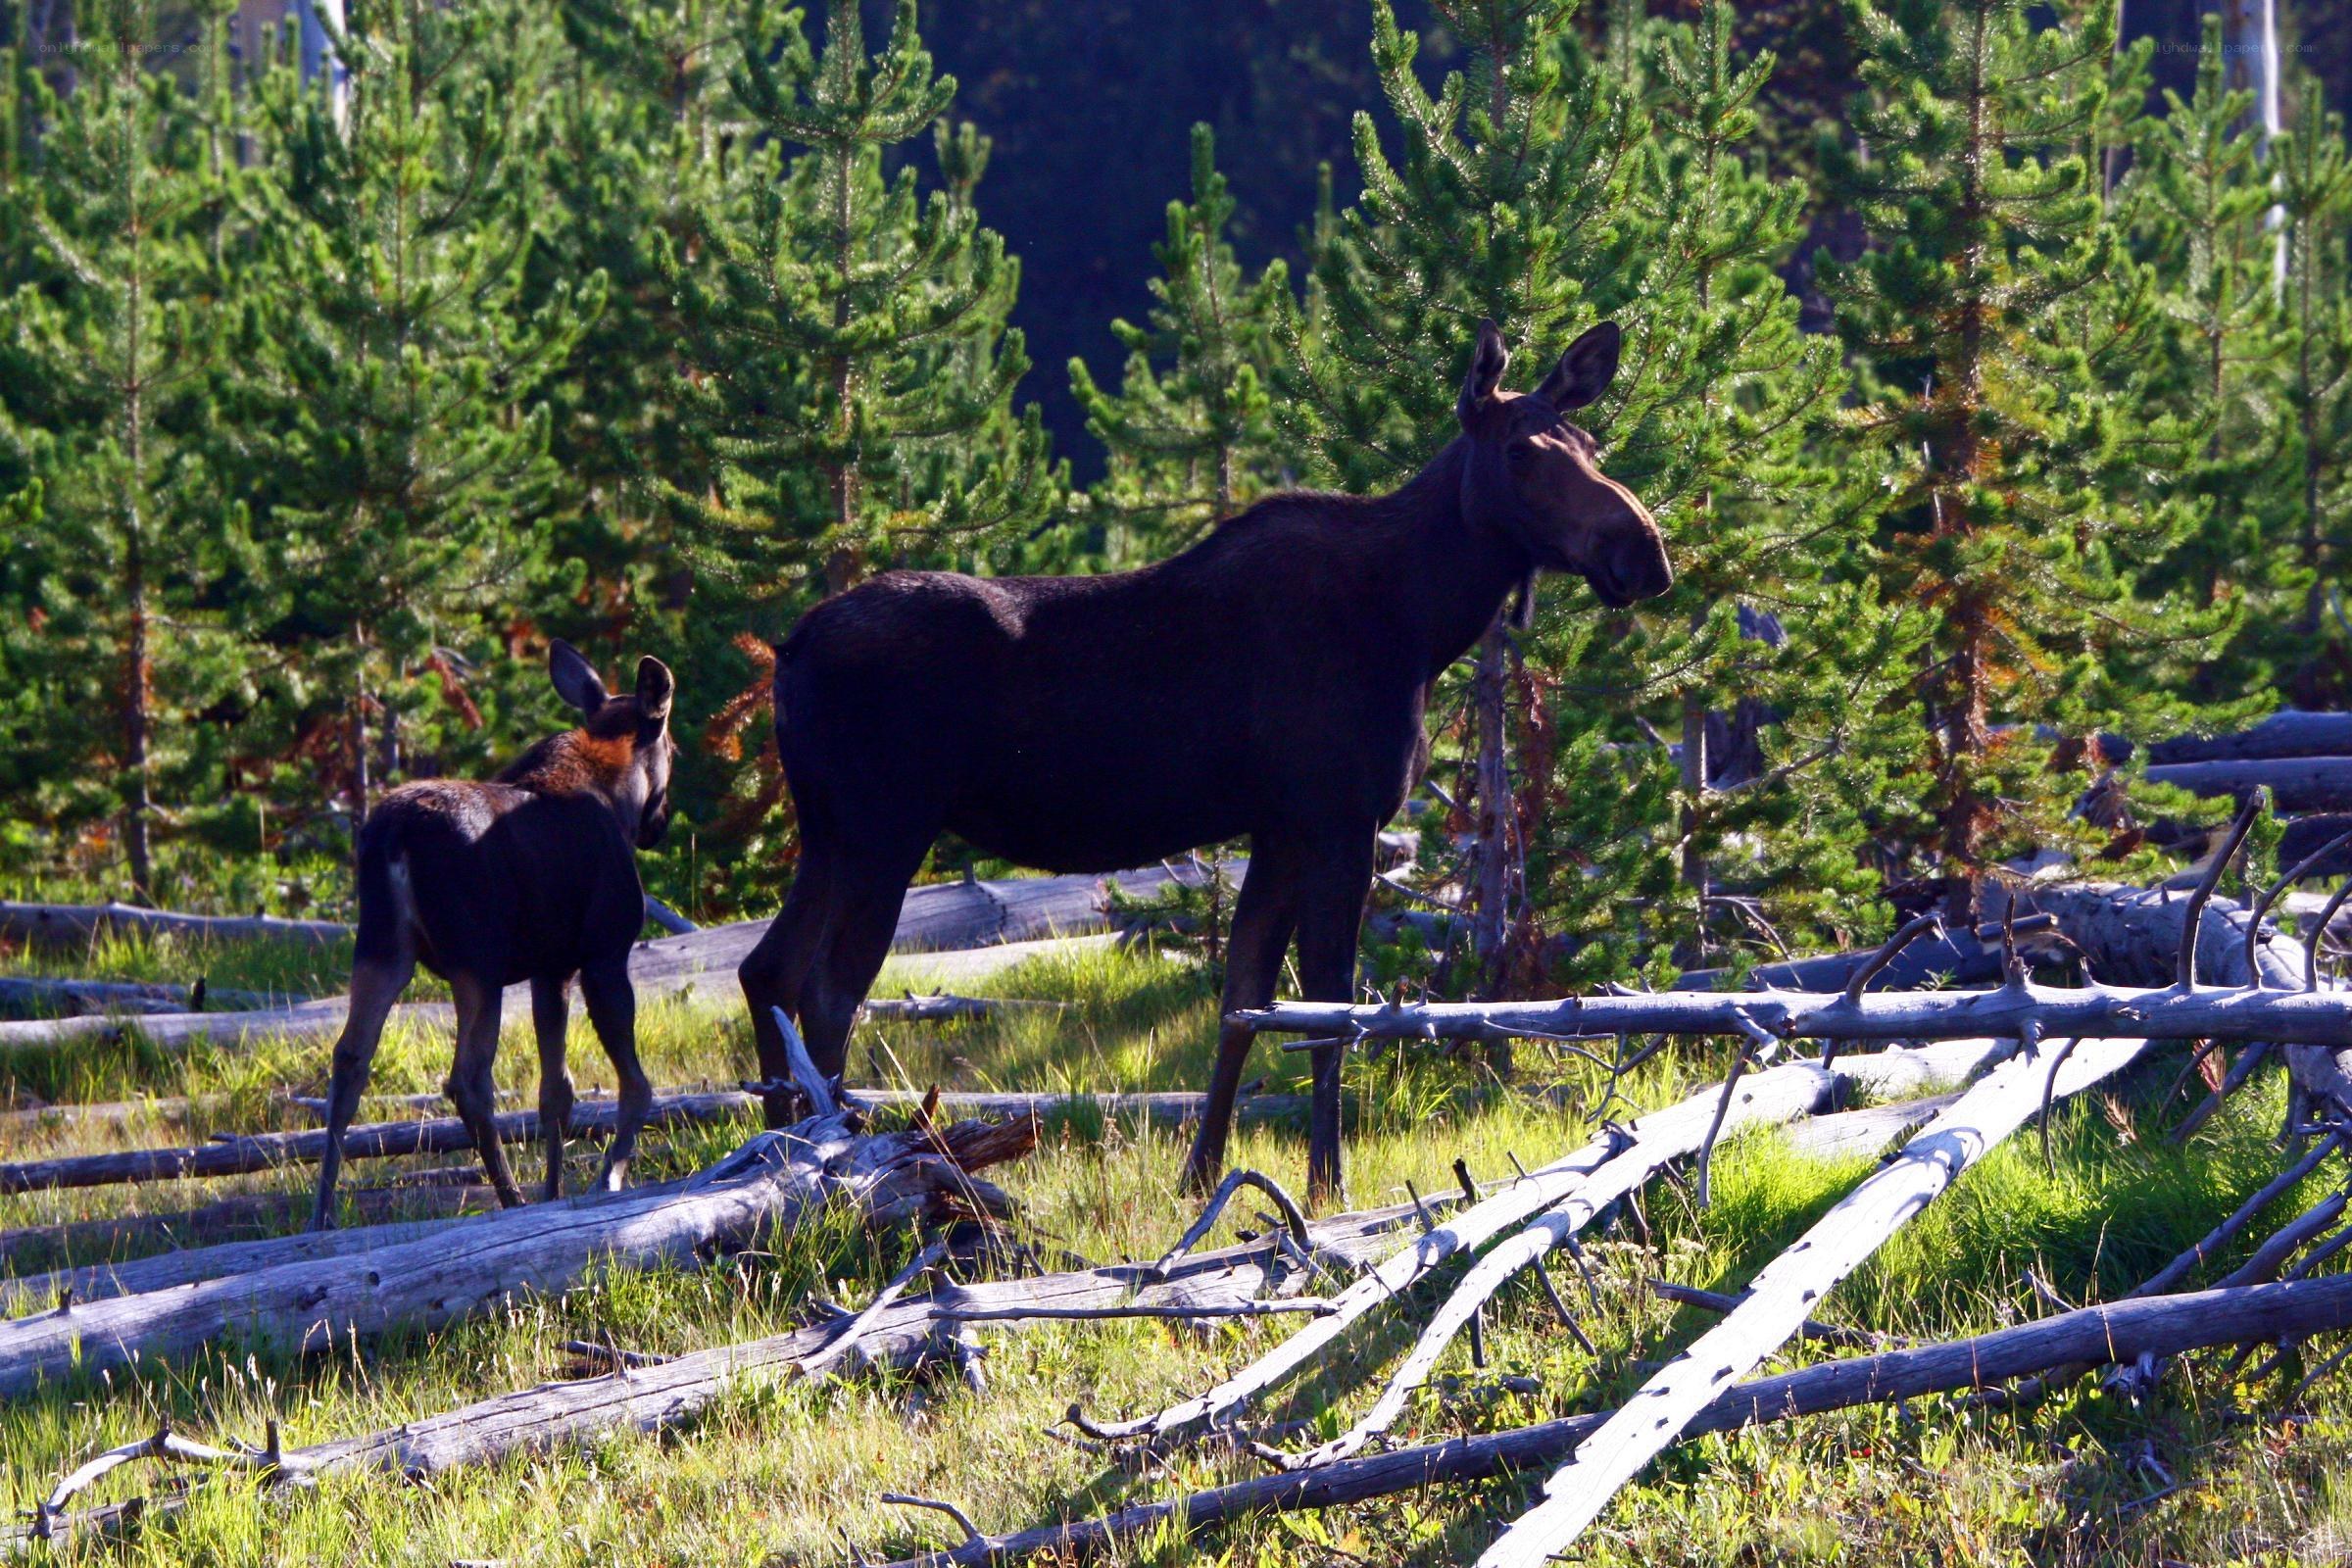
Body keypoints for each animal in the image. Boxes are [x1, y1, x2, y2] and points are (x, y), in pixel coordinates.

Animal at [308, 642, 678, 1232]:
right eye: (675, 746)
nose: (658, 823)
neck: (617, 795)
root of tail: (393, 836)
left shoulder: (552, 967)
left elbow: (557, 1091)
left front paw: (555, 1192)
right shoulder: (603, 953)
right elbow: (636, 1086)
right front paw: (606, 1178)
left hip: (382, 948)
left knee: (350, 1060)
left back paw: (321, 1216)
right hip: (477, 961)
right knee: (469, 1078)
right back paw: (510, 1198)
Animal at [737, 319, 1669, 1202]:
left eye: (1591, 445)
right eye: (1521, 452)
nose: (1644, 551)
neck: (1420, 619)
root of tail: (788, 651)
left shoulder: (1283, 828)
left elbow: (1245, 999)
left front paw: (1201, 1173)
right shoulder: (1337, 818)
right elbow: (1328, 1009)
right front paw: (1326, 1183)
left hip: (828, 833)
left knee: (767, 969)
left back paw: (769, 1165)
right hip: (884, 829)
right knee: (829, 993)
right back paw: (837, 1167)